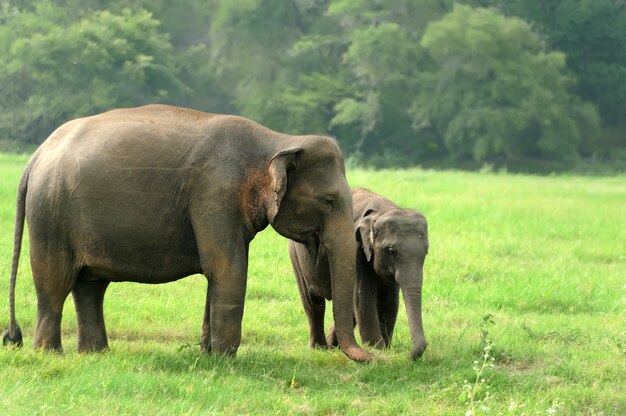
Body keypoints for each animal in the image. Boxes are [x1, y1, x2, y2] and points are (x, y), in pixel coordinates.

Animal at [2, 105, 368, 362]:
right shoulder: (216, 194)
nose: (369, 357)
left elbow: (217, 272)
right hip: (50, 216)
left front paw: (208, 356)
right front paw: (226, 361)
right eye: (328, 202)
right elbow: (228, 268)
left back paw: (96, 356)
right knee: (55, 283)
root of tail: (34, 158)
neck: (279, 139)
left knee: (90, 286)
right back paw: (50, 355)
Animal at [288, 188, 428, 360]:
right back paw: (320, 348)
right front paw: (377, 349)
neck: (383, 211)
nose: (408, 355)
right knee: (313, 303)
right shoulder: (356, 250)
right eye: (391, 251)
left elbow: (390, 301)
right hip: (296, 255)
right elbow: (364, 297)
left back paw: (334, 346)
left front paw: (386, 349)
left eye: (426, 252)